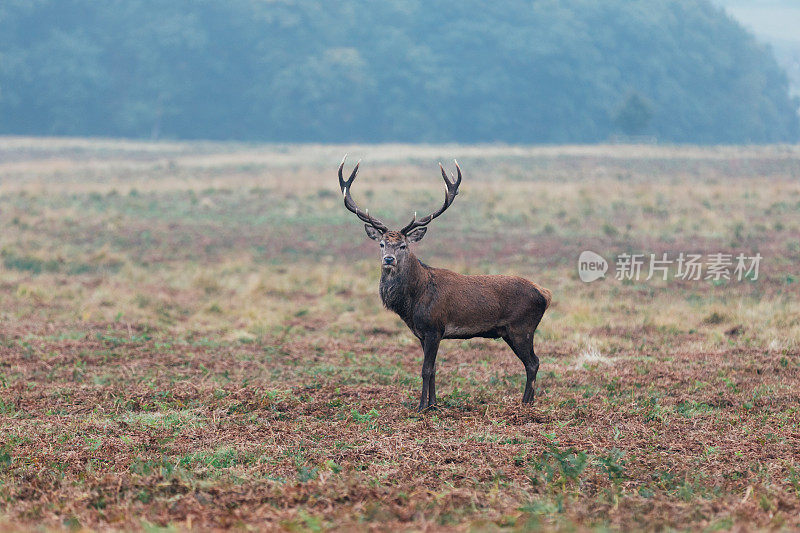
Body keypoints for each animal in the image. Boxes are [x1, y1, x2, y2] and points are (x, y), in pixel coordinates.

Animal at [338, 155, 552, 412]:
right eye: (381, 244)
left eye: (403, 245)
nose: (388, 259)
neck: (413, 301)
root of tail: (545, 294)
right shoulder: (422, 333)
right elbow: (434, 370)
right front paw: (433, 404)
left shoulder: (434, 327)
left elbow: (425, 369)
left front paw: (421, 407)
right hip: (512, 331)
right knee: (533, 362)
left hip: (522, 327)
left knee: (533, 362)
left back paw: (525, 403)